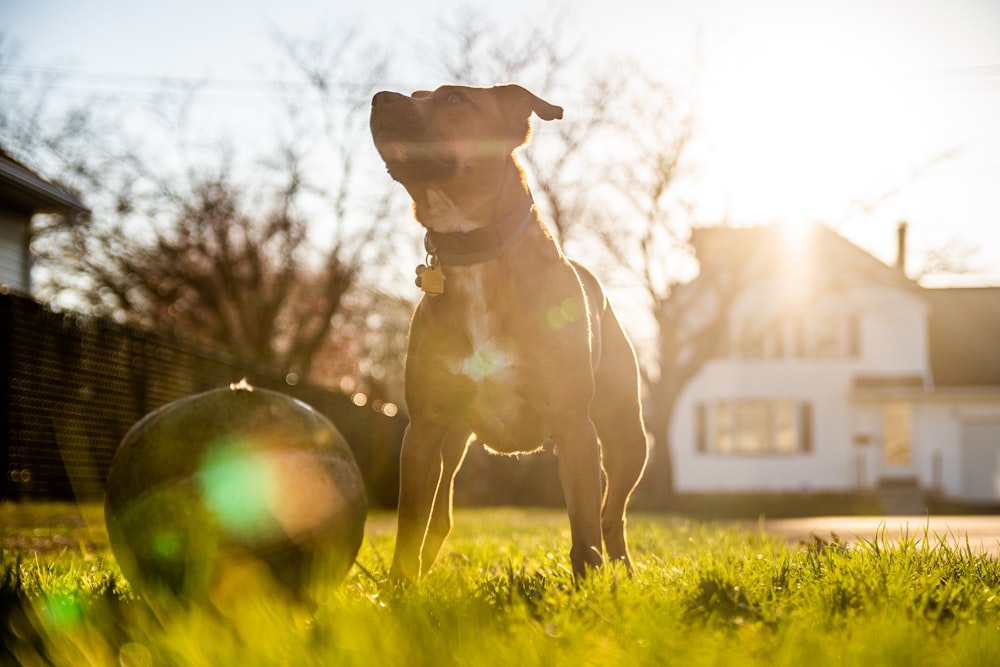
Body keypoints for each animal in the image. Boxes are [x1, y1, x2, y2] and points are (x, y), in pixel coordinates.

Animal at [370, 82, 648, 580]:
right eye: (417, 93)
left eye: (453, 99)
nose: (379, 97)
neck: (474, 251)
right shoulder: (423, 431)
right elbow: (409, 527)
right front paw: (399, 588)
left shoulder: (575, 426)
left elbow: (584, 530)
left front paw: (588, 588)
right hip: (451, 443)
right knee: (440, 517)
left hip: (628, 439)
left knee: (611, 515)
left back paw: (626, 574)